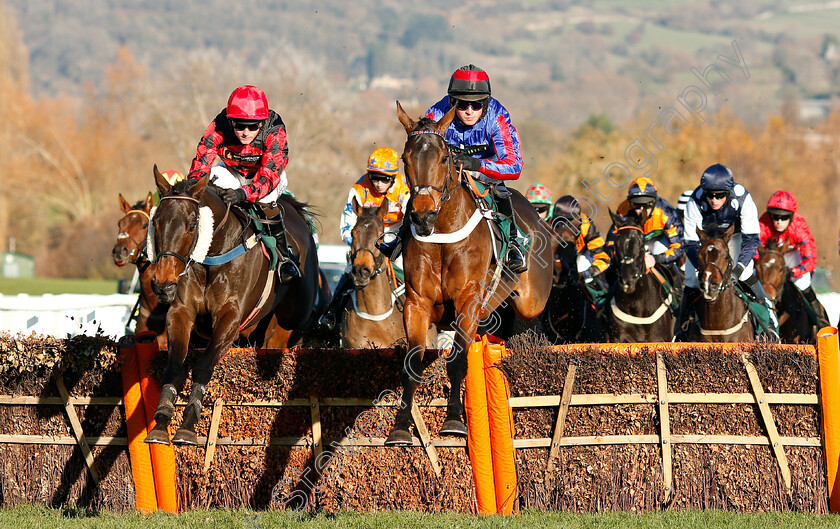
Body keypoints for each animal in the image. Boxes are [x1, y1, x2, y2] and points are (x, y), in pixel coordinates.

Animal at [144, 166, 318, 446]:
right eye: (156, 221)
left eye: (192, 224)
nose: (163, 284)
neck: (213, 256)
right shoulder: (180, 313)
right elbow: (174, 367)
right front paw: (161, 422)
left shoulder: (230, 320)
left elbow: (203, 366)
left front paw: (188, 425)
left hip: (292, 319)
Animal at [388, 101, 556, 444]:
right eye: (405, 158)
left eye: (444, 157)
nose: (422, 215)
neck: (441, 235)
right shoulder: (416, 302)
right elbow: (411, 363)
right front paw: (399, 427)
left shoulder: (467, 301)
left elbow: (458, 360)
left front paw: (454, 421)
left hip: (531, 302)